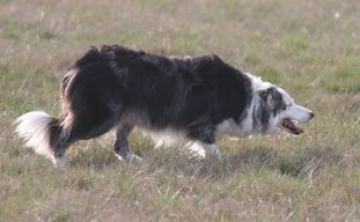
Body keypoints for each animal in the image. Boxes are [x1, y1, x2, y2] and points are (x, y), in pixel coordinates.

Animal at [14, 45, 314, 166]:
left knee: (120, 147)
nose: (312, 113)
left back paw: (139, 163)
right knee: (60, 133)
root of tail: (80, 64)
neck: (247, 98)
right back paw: (60, 164)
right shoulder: (202, 125)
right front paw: (221, 164)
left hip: (127, 116)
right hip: (100, 116)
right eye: (288, 104)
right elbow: (214, 151)